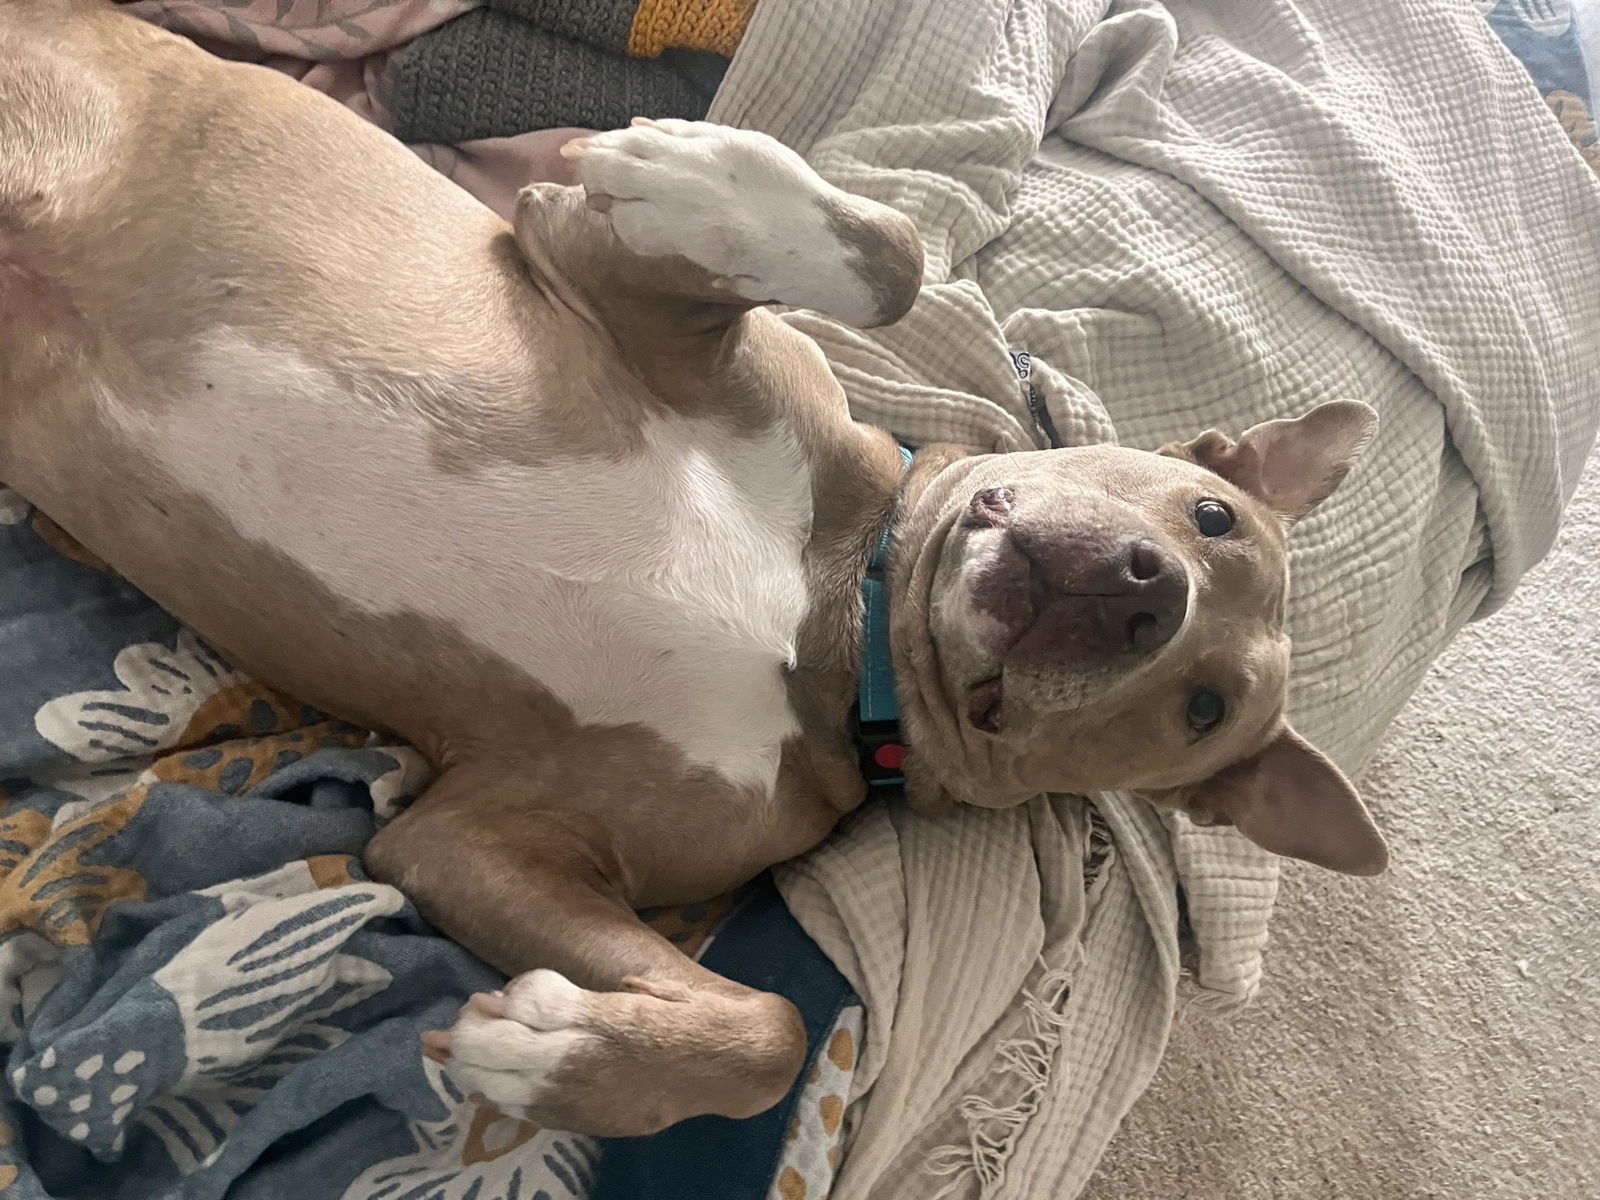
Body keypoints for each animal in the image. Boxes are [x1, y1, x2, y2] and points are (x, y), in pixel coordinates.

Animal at [0, 0, 1388, 1139]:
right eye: (1212, 515)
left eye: (1202, 709)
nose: (1149, 591)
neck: (837, 623)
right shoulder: (585, 265)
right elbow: (894, 260)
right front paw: (693, 171)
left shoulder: (472, 833)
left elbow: (766, 1037)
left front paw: (550, 1057)